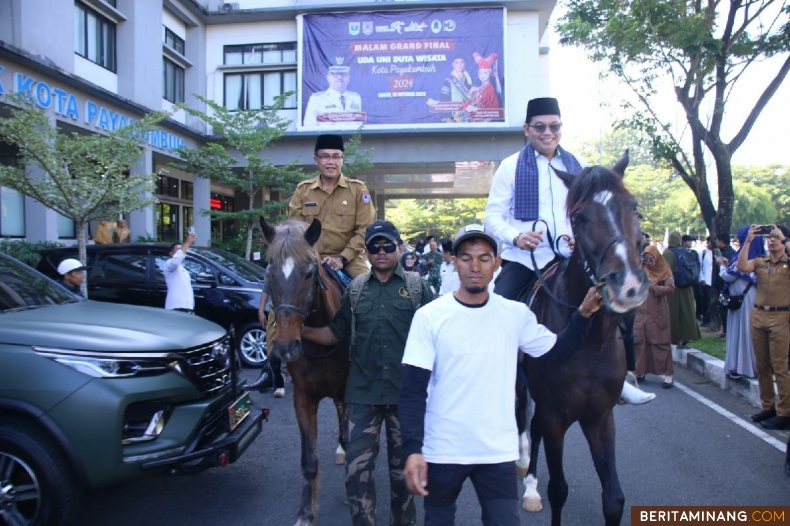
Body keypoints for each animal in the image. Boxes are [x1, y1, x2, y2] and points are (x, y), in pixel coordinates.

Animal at [262, 217, 352, 524]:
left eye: (309, 272)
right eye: (269, 271)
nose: (286, 346)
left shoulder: (350, 392)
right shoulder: (303, 399)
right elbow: (308, 460)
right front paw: (306, 512)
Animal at [520, 154, 648, 526]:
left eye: (634, 208)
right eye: (579, 217)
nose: (629, 285)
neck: (590, 342)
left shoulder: (600, 416)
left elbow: (614, 498)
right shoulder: (556, 415)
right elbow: (558, 490)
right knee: (525, 424)